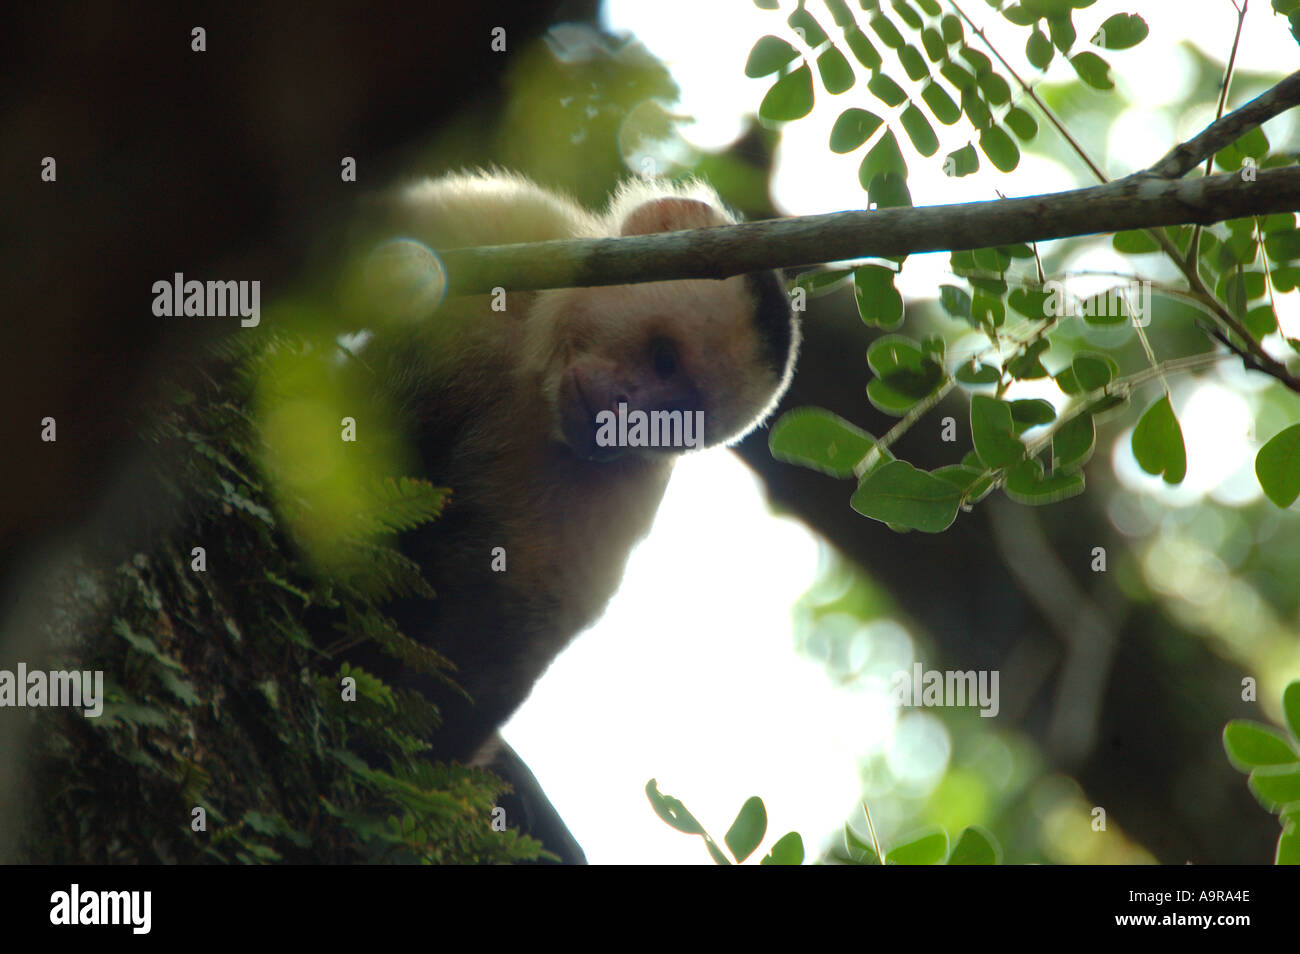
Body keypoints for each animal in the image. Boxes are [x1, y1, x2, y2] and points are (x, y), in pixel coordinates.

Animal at [352, 170, 800, 768]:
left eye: (675, 418)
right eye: (664, 359)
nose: (627, 415)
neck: (534, 369)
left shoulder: (622, 486)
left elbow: (509, 623)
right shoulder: (502, 223)